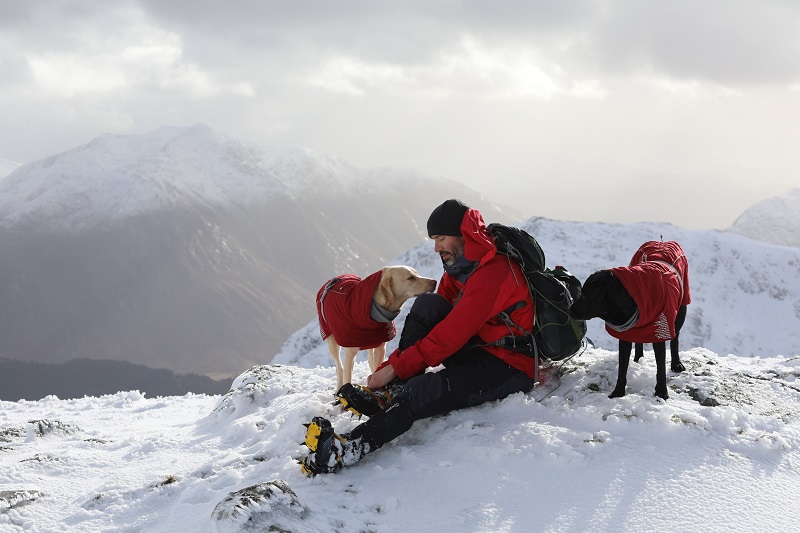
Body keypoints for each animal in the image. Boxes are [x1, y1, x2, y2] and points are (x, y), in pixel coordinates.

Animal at [568, 241, 688, 400]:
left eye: (585, 295)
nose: (569, 309)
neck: (631, 300)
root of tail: (662, 242)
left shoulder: (659, 334)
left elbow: (661, 368)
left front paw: (662, 392)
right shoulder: (625, 335)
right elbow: (622, 368)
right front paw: (618, 392)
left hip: (681, 309)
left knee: (675, 338)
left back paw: (676, 364)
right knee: (639, 341)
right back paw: (638, 359)